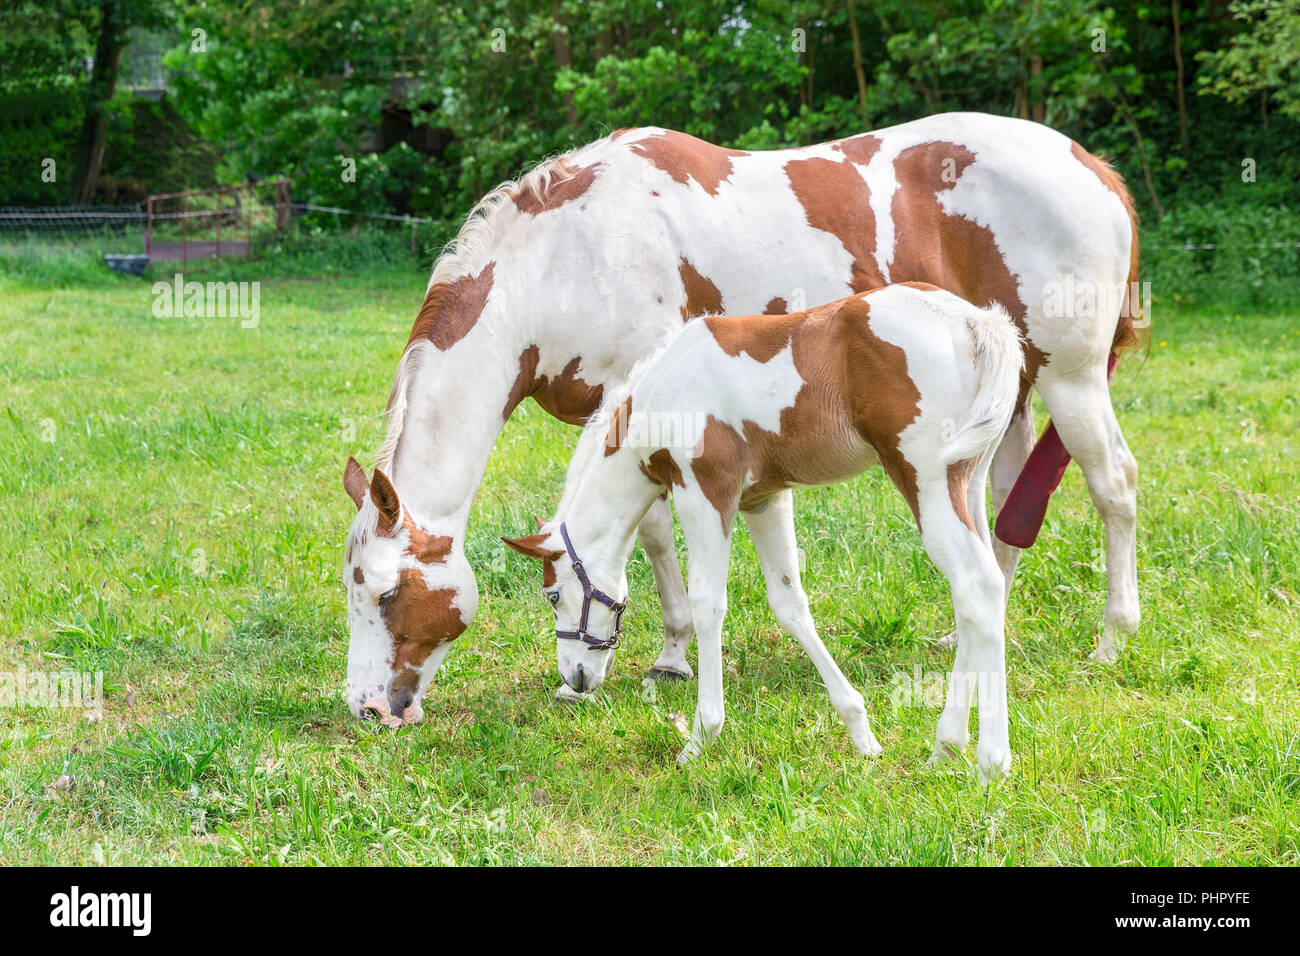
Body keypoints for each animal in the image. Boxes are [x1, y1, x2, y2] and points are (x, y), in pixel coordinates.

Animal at [340, 110, 1144, 723]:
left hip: (1071, 381)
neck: (569, 256)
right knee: (1001, 511)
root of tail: (1094, 168)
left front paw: (672, 655)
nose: (370, 708)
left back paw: (1112, 638)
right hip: (1008, 398)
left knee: (1114, 485)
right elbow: (648, 535)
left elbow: (654, 535)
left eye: (386, 592)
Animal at [506, 282, 1024, 780]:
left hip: (925, 482)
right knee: (981, 591)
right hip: (967, 484)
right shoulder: (764, 500)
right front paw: (860, 732)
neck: (661, 392)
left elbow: (707, 604)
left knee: (975, 587)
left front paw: (701, 737)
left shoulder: (705, 493)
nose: (574, 677)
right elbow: (790, 605)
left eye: (553, 596)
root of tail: (977, 322)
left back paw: (991, 761)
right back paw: (946, 746)